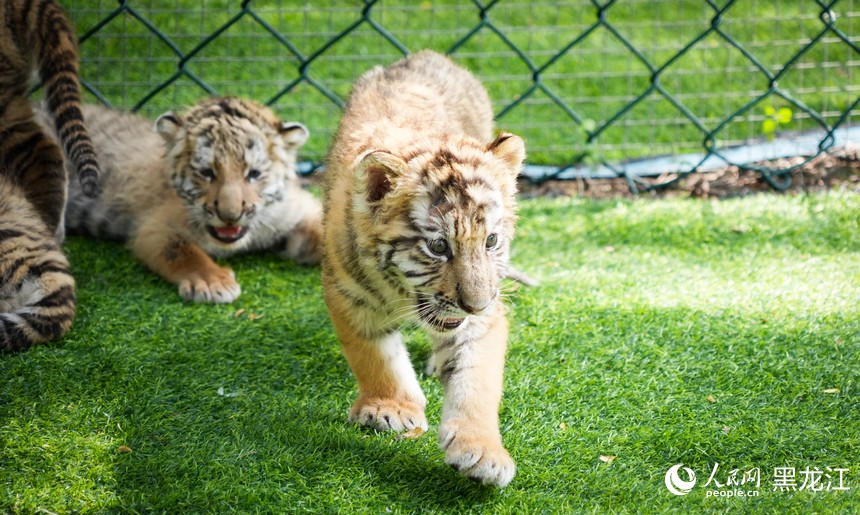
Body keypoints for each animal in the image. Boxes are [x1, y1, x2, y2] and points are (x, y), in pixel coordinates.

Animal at [33, 96, 324, 304]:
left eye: (253, 174)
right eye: (207, 172)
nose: (230, 216)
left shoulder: (297, 211)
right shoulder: (154, 228)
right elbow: (183, 251)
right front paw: (213, 283)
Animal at [322, 50, 526, 487]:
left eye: (490, 241)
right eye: (437, 246)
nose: (475, 305)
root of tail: (425, 55)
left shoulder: (486, 317)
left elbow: (477, 378)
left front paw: (483, 452)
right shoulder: (347, 294)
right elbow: (375, 356)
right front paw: (390, 410)